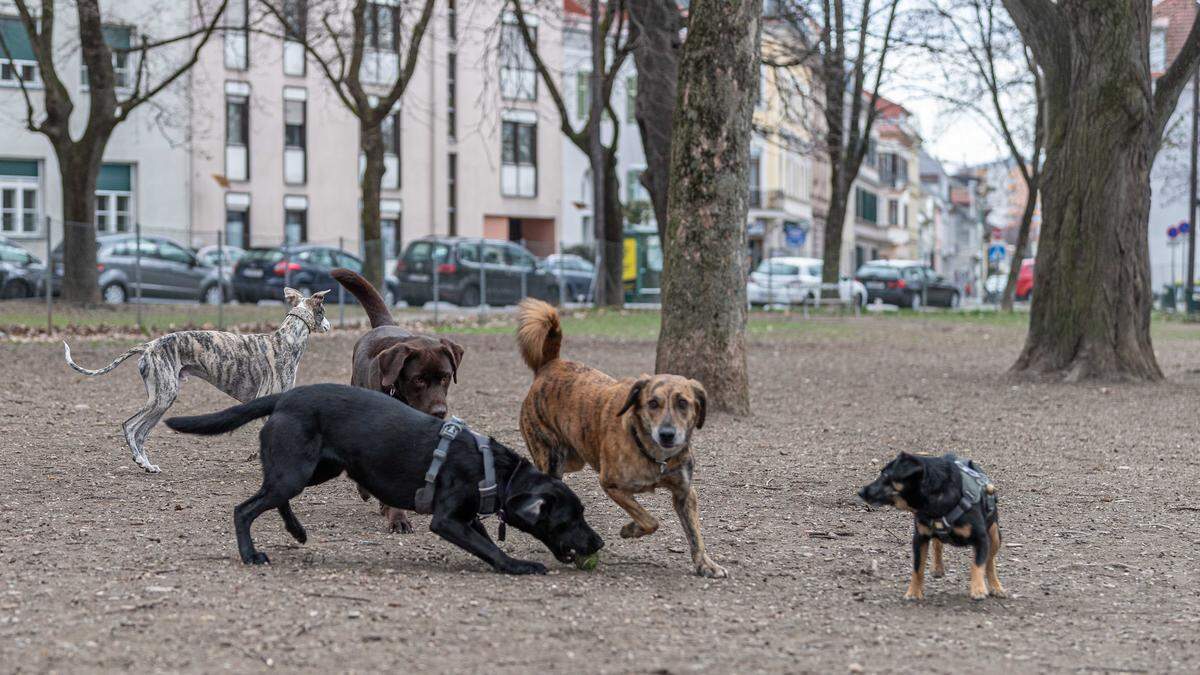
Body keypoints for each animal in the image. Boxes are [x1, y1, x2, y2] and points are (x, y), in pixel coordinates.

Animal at [513, 299, 724, 578]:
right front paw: (630, 529)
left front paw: (705, 564)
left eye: (683, 403)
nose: (667, 434)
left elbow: (694, 534)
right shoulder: (611, 484)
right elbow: (650, 520)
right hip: (551, 457)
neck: (654, 456)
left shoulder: (685, 493)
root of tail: (550, 365)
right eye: (652, 403)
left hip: (575, 458)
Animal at [864, 451, 1003, 598]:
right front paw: (913, 592)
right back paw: (937, 567)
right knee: (937, 543)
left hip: (995, 535)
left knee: (990, 561)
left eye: (885, 475)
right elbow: (918, 567)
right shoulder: (920, 538)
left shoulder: (981, 538)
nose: (861, 491)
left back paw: (996, 586)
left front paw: (978, 589)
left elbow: (978, 564)